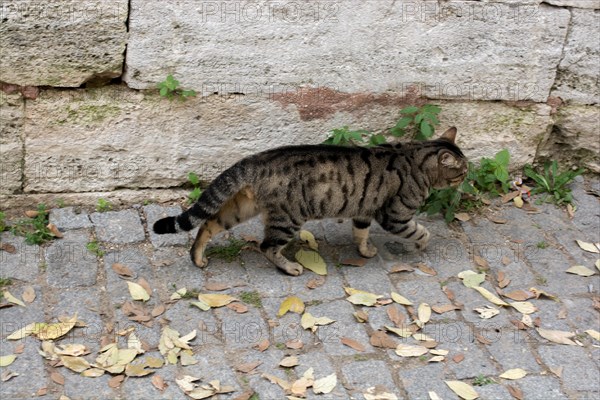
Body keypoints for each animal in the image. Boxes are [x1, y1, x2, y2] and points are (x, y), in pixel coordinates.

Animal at [155, 128, 468, 276]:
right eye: (462, 171)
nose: (466, 177)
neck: (416, 156)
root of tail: (255, 159)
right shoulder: (395, 215)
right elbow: (420, 231)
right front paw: (422, 244)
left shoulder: (364, 209)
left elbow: (361, 232)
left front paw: (365, 250)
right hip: (288, 219)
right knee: (267, 246)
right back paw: (290, 267)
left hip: (240, 208)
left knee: (207, 224)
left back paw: (197, 257)